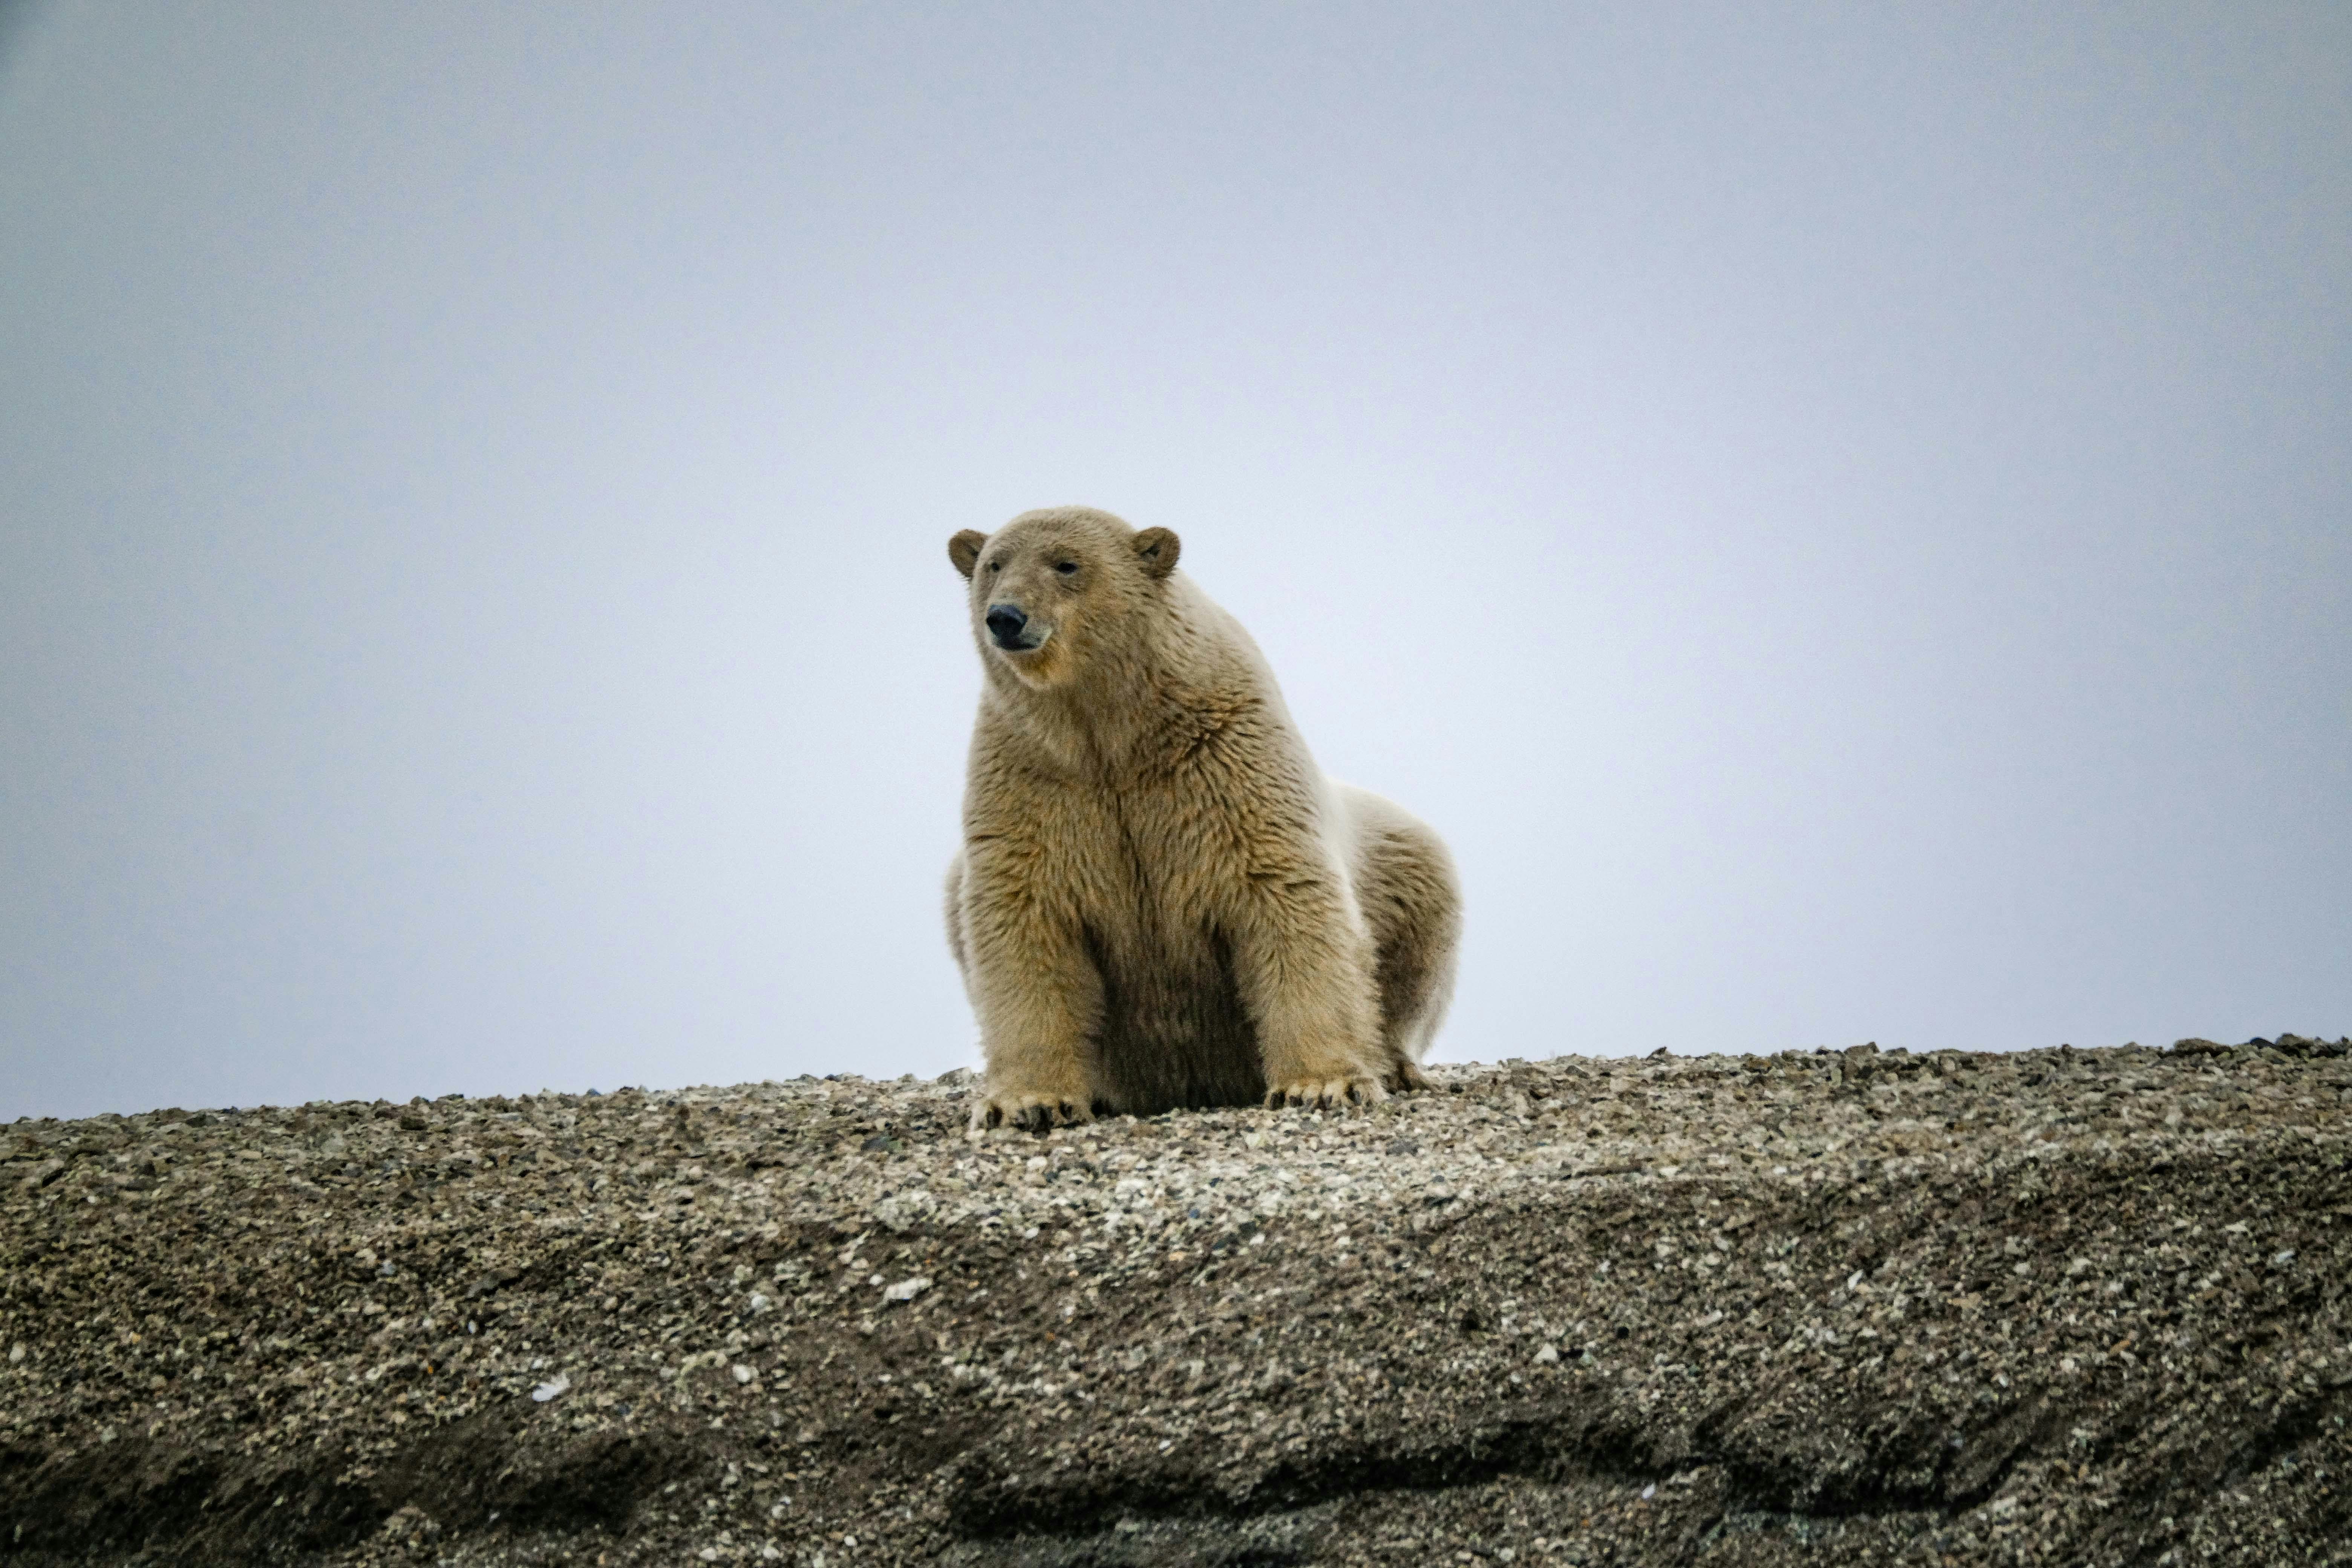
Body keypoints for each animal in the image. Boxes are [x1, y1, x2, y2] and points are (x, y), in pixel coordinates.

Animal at [943, 505, 1461, 1130]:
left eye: (1066, 563)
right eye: (994, 565)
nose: (1005, 618)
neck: (1116, 738)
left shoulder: (1228, 762)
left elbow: (1287, 899)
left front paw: (1321, 1084)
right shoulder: (1037, 780)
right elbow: (1023, 917)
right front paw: (1029, 1101)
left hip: (1397, 854)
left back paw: (1397, 1065)